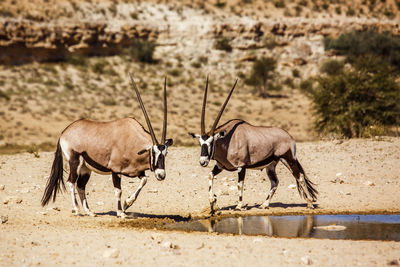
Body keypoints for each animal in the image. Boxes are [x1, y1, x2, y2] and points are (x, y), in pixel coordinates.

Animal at [41, 73, 173, 218]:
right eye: (153, 152)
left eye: (165, 153)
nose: (161, 175)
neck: (132, 140)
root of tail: (64, 132)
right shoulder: (116, 170)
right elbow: (118, 191)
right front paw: (121, 212)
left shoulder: (138, 171)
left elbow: (144, 181)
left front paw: (127, 204)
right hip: (75, 161)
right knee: (71, 182)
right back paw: (77, 210)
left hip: (86, 168)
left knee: (80, 186)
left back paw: (90, 211)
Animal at [189, 77, 318, 216]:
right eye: (200, 143)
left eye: (212, 142)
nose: (203, 162)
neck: (228, 140)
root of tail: (290, 137)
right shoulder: (220, 166)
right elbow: (210, 176)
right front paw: (212, 200)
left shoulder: (241, 167)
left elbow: (240, 185)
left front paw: (239, 206)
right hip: (271, 165)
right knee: (275, 182)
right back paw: (264, 204)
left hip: (289, 159)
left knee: (300, 177)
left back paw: (310, 204)